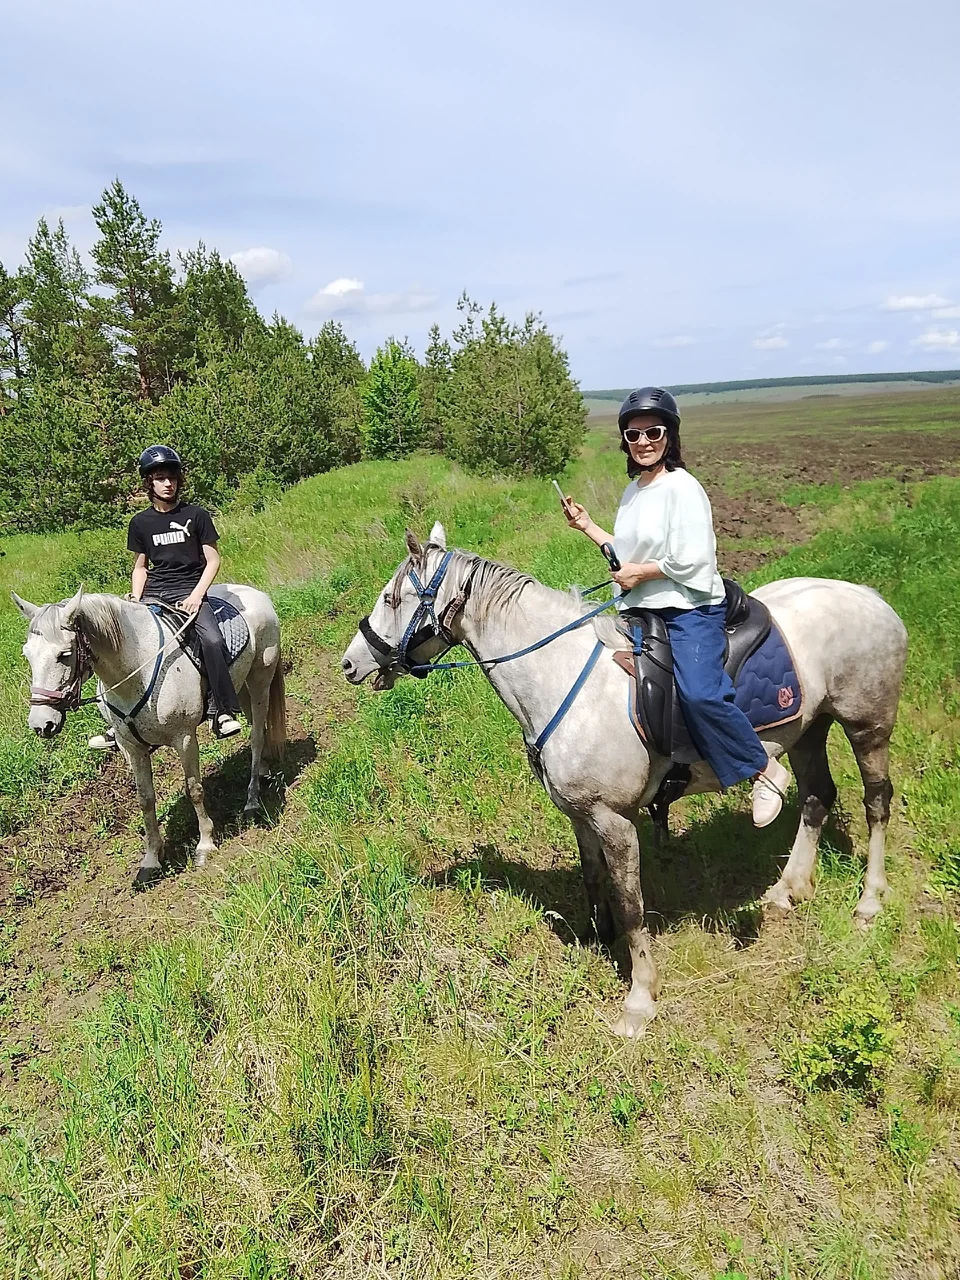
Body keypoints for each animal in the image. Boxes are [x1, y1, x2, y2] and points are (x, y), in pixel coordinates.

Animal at [13, 584, 286, 884]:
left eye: (64, 654)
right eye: (27, 655)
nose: (41, 724)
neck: (136, 669)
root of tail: (255, 592)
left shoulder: (184, 738)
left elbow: (194, 790)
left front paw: (205, 844)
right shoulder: (131, 748)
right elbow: (145, 799)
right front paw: (152, 860)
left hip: (260, 679)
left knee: (256, 737)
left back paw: (252, 801)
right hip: (243, 686)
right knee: (259, 729)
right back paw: (263, 770)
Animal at [341, 523, 908, 1038]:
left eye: (391, 597)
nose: (350, 663)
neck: (563, 675)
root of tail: (871, 598)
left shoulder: (615, 820)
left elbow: (632, 905)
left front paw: (639, 997)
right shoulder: (579, 813)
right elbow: (594, 879)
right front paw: (597, 940)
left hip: (867, 726)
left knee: (876, 802)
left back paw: (869, 901)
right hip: (810, 729)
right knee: (816, 799)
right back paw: (787, 889)